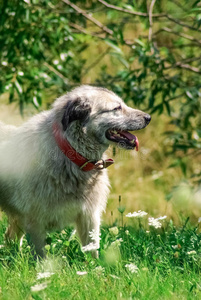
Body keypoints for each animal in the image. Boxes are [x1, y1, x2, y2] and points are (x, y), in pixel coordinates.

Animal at [0, 85, 151, 258]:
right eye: (116, 108)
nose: (149, 117)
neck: (71, 153)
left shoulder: (89, 216)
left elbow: (93, 252)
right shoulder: (35, 222)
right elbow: (41, 257)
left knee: (10, 236)